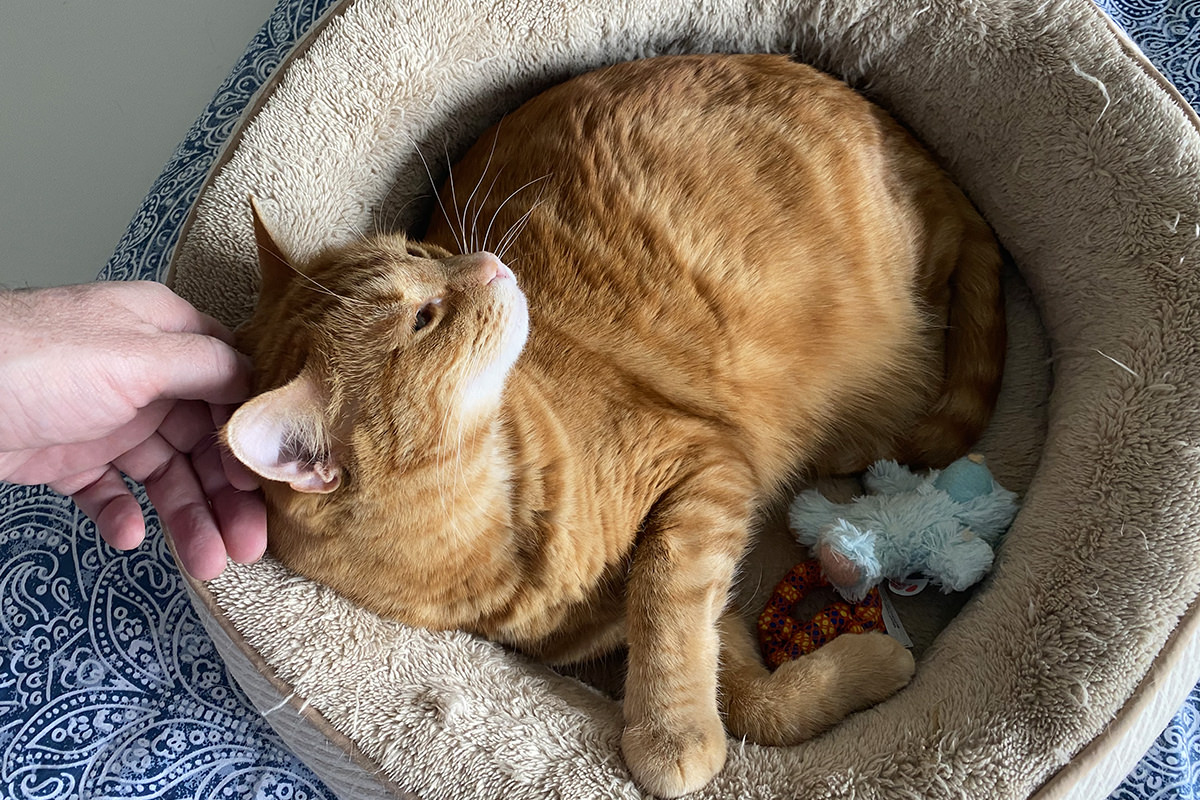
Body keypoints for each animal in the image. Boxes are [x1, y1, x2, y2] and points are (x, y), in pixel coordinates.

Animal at [223, 53, 1003, 796]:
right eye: (423, 318)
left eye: (421, 253)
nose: (485, 261)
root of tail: (915, 150)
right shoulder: (702, 572)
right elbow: (738, 691)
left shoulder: (702, 476)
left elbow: (667, 612)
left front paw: (670, 738)